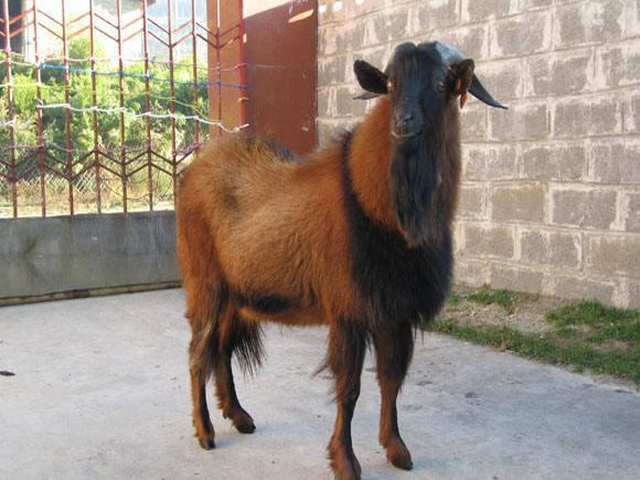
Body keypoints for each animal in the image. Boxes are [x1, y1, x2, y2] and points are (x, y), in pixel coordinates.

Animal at [176, 41, 506, 479]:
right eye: (390, 84)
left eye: (441, 83)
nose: (403, 122)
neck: (376, 208)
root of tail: (191, 173)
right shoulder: (349, 312)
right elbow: (349, 388)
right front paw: (345, 461)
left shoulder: (395, 313)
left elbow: (391, 380)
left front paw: (397, 450)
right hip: (205, 284)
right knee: (199, 353)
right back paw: (205, 431)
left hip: (236, 294)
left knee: (222, 351)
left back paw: (240, 416)